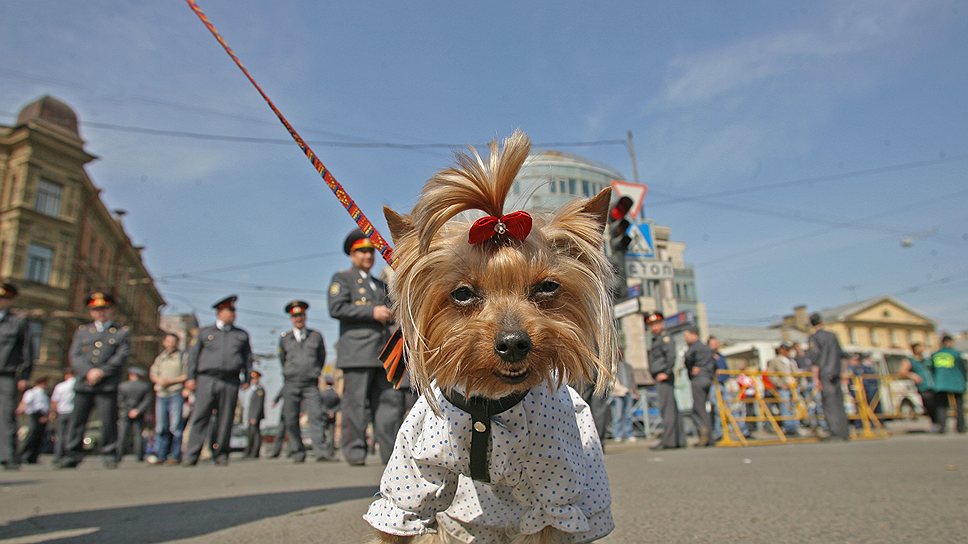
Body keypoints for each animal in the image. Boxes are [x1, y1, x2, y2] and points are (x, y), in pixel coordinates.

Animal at [366, 130, 616, 540]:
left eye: (547, 287)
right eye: (462, 293)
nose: (513, 343)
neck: (488, 404)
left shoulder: (555, 489)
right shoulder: (411, 481)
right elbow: (401, 517)